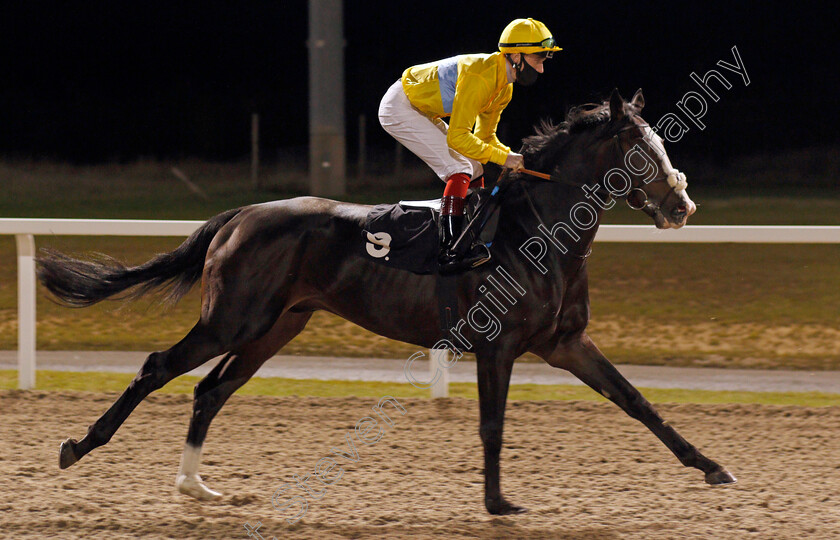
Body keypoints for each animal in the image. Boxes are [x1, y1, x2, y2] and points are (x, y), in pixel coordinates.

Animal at [39, 88, 736, 516]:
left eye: (663, 145)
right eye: (640, 150)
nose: (682, 205)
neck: (535, 230)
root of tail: (242, 213)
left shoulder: (566, 343)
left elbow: (637, 401)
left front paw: (712, 467)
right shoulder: (499, 346)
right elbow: (492, 425)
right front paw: (497, 503)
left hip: (276, 326)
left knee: (211, 389)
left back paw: (195, 485)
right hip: (233, 318)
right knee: (159, 366)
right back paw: (79, 447)